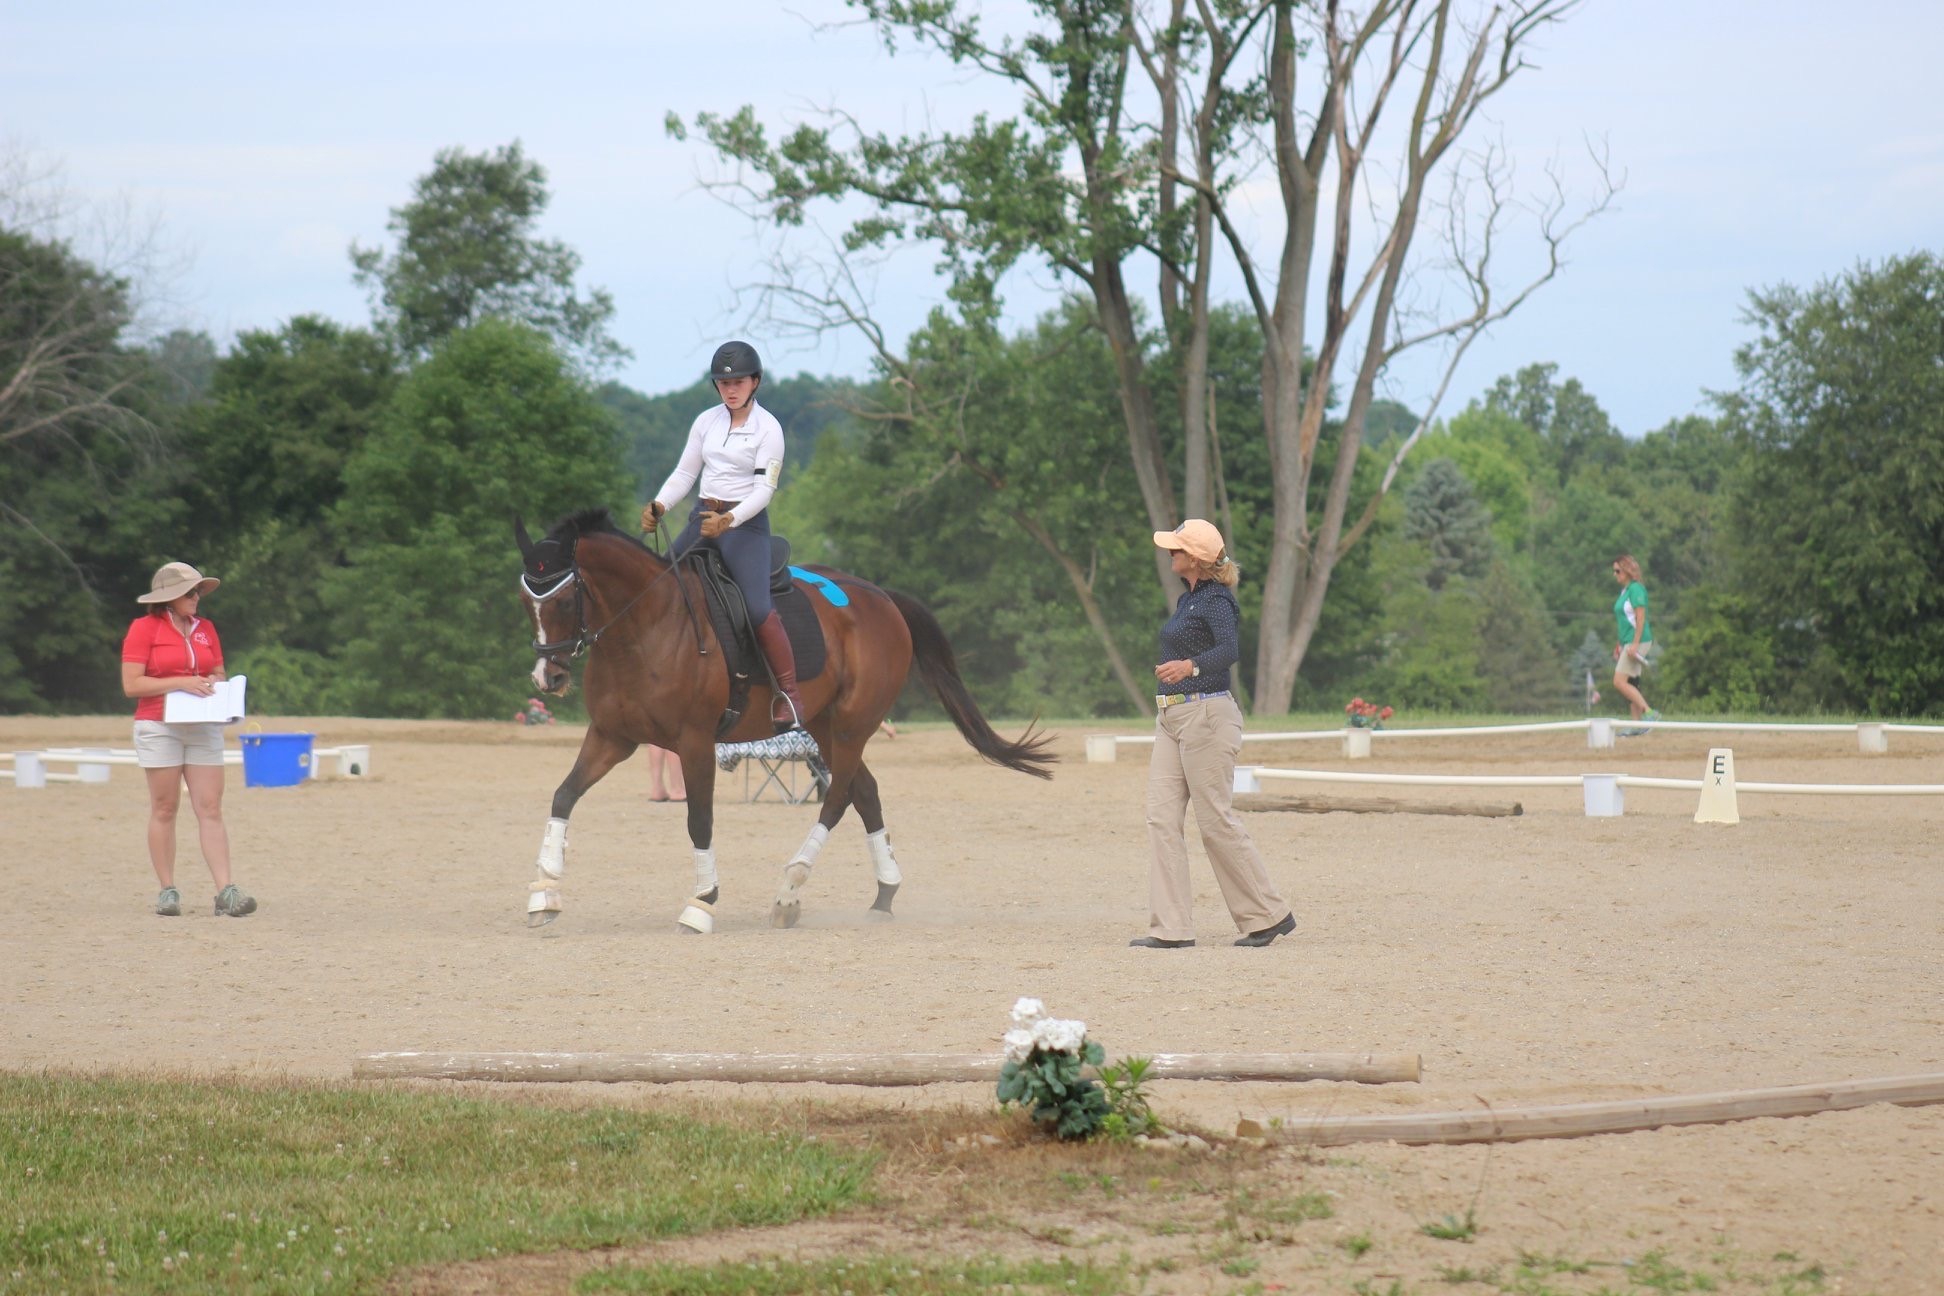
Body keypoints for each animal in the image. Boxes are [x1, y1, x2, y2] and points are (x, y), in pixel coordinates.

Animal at [517, 505, 1057, 932]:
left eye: (564, 598)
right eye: (526, 600)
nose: (548, 675)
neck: (646, 627)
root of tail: (881, 596)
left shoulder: (694, 743)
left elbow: (699, 819)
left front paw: (702, 903)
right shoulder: (612, 736)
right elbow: (563, 795)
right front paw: (544, 891)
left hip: (851, 725)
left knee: (838, 798)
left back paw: (790, 889)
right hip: (823, 725)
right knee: (865, 792)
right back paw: (883, 896)